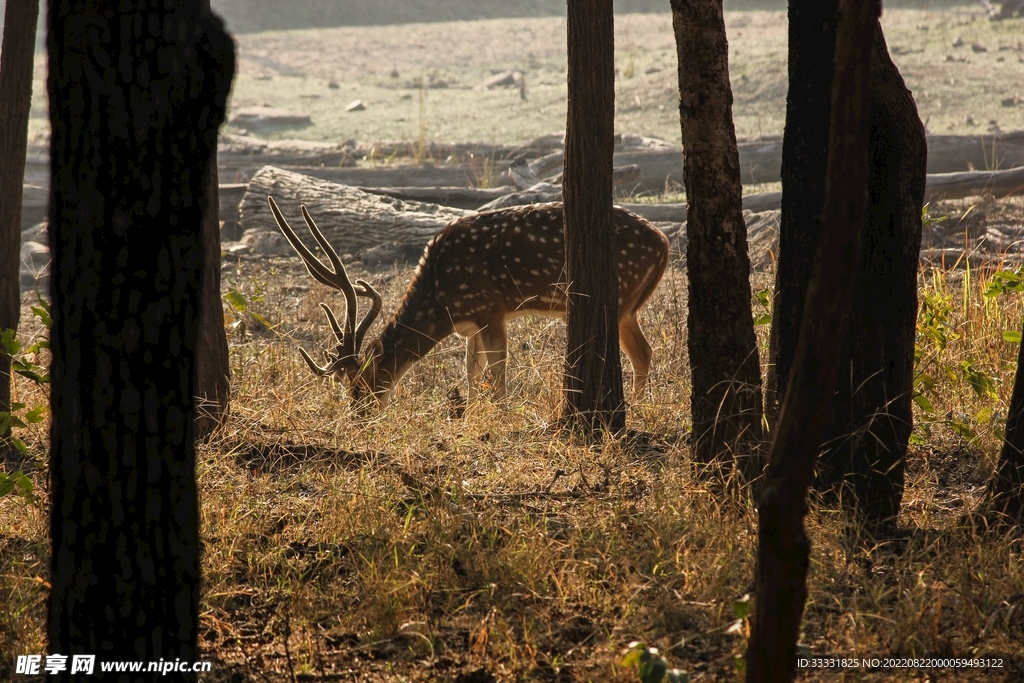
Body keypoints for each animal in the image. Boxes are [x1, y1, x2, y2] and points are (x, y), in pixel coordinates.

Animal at [268, 196, 669, 409]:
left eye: (361, 384)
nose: (358, 415)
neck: (441, 298)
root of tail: (664, 244)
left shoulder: (491, 308)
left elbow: (498, 369)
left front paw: (502, 414)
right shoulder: (470, 322)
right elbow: (471, 370)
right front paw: (473, 413)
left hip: (620, 295)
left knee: (639, 353)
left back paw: (636, 408)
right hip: (628, 306)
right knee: (645, 351)